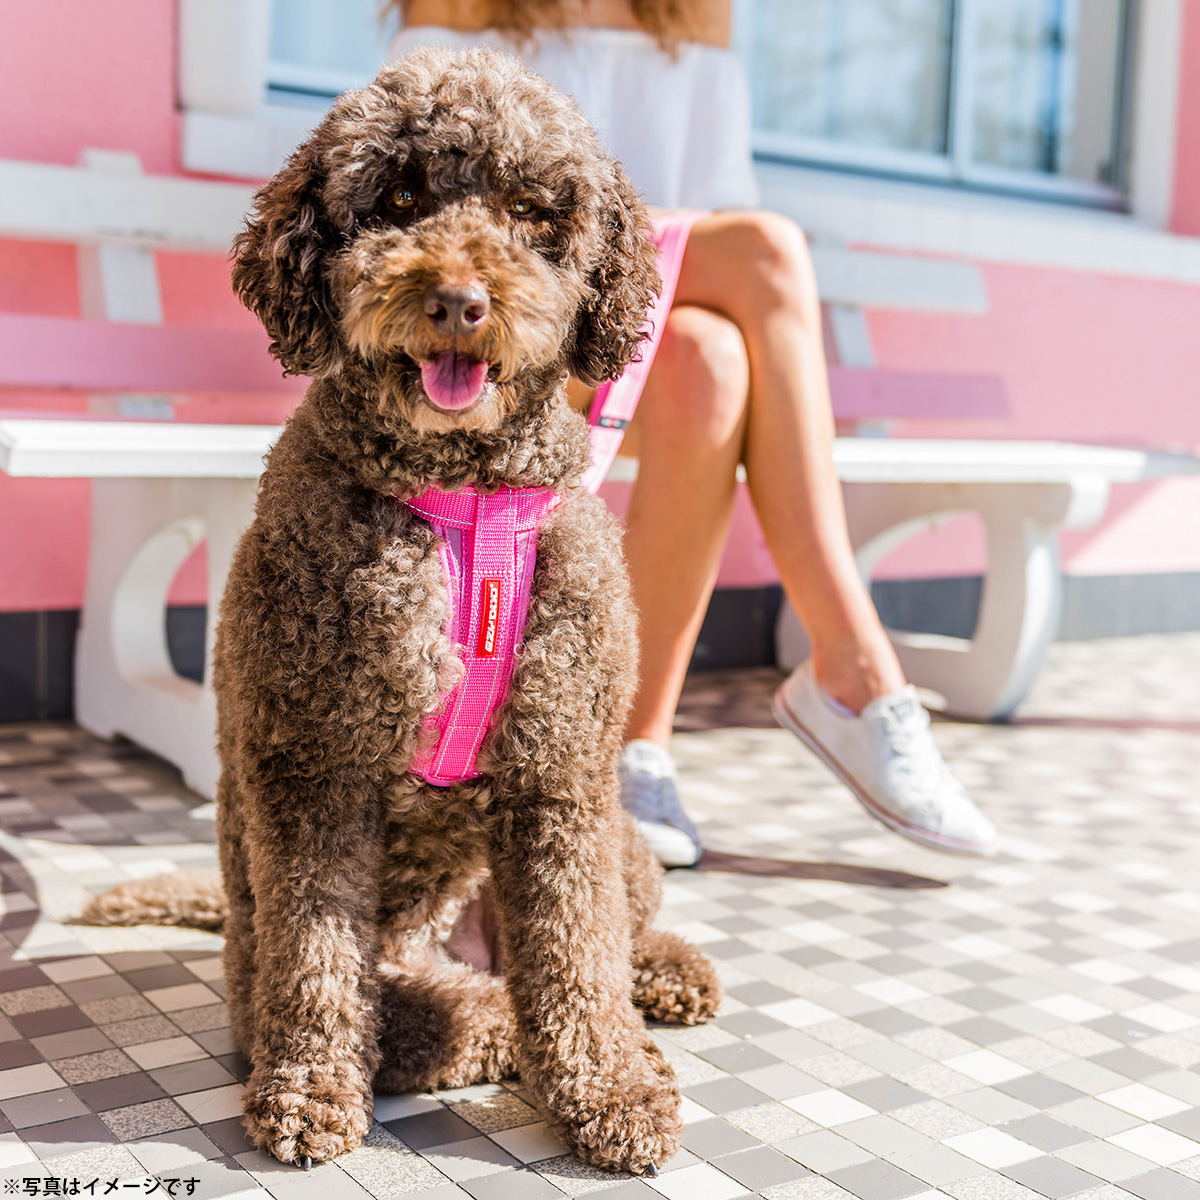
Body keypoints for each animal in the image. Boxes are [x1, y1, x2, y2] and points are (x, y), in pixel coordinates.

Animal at [83, 48, 719, 1175]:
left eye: (531, 211)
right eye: (400, 201)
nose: (460, 301)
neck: (460, 500)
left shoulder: (561, 777)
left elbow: (580, 951)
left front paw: (610, 1087)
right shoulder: (313, 768)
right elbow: (317, 954)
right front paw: (308, 1091)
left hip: (618, 836)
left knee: (612, 937)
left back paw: (667, 976)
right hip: (351, 969)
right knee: (460, 1016)